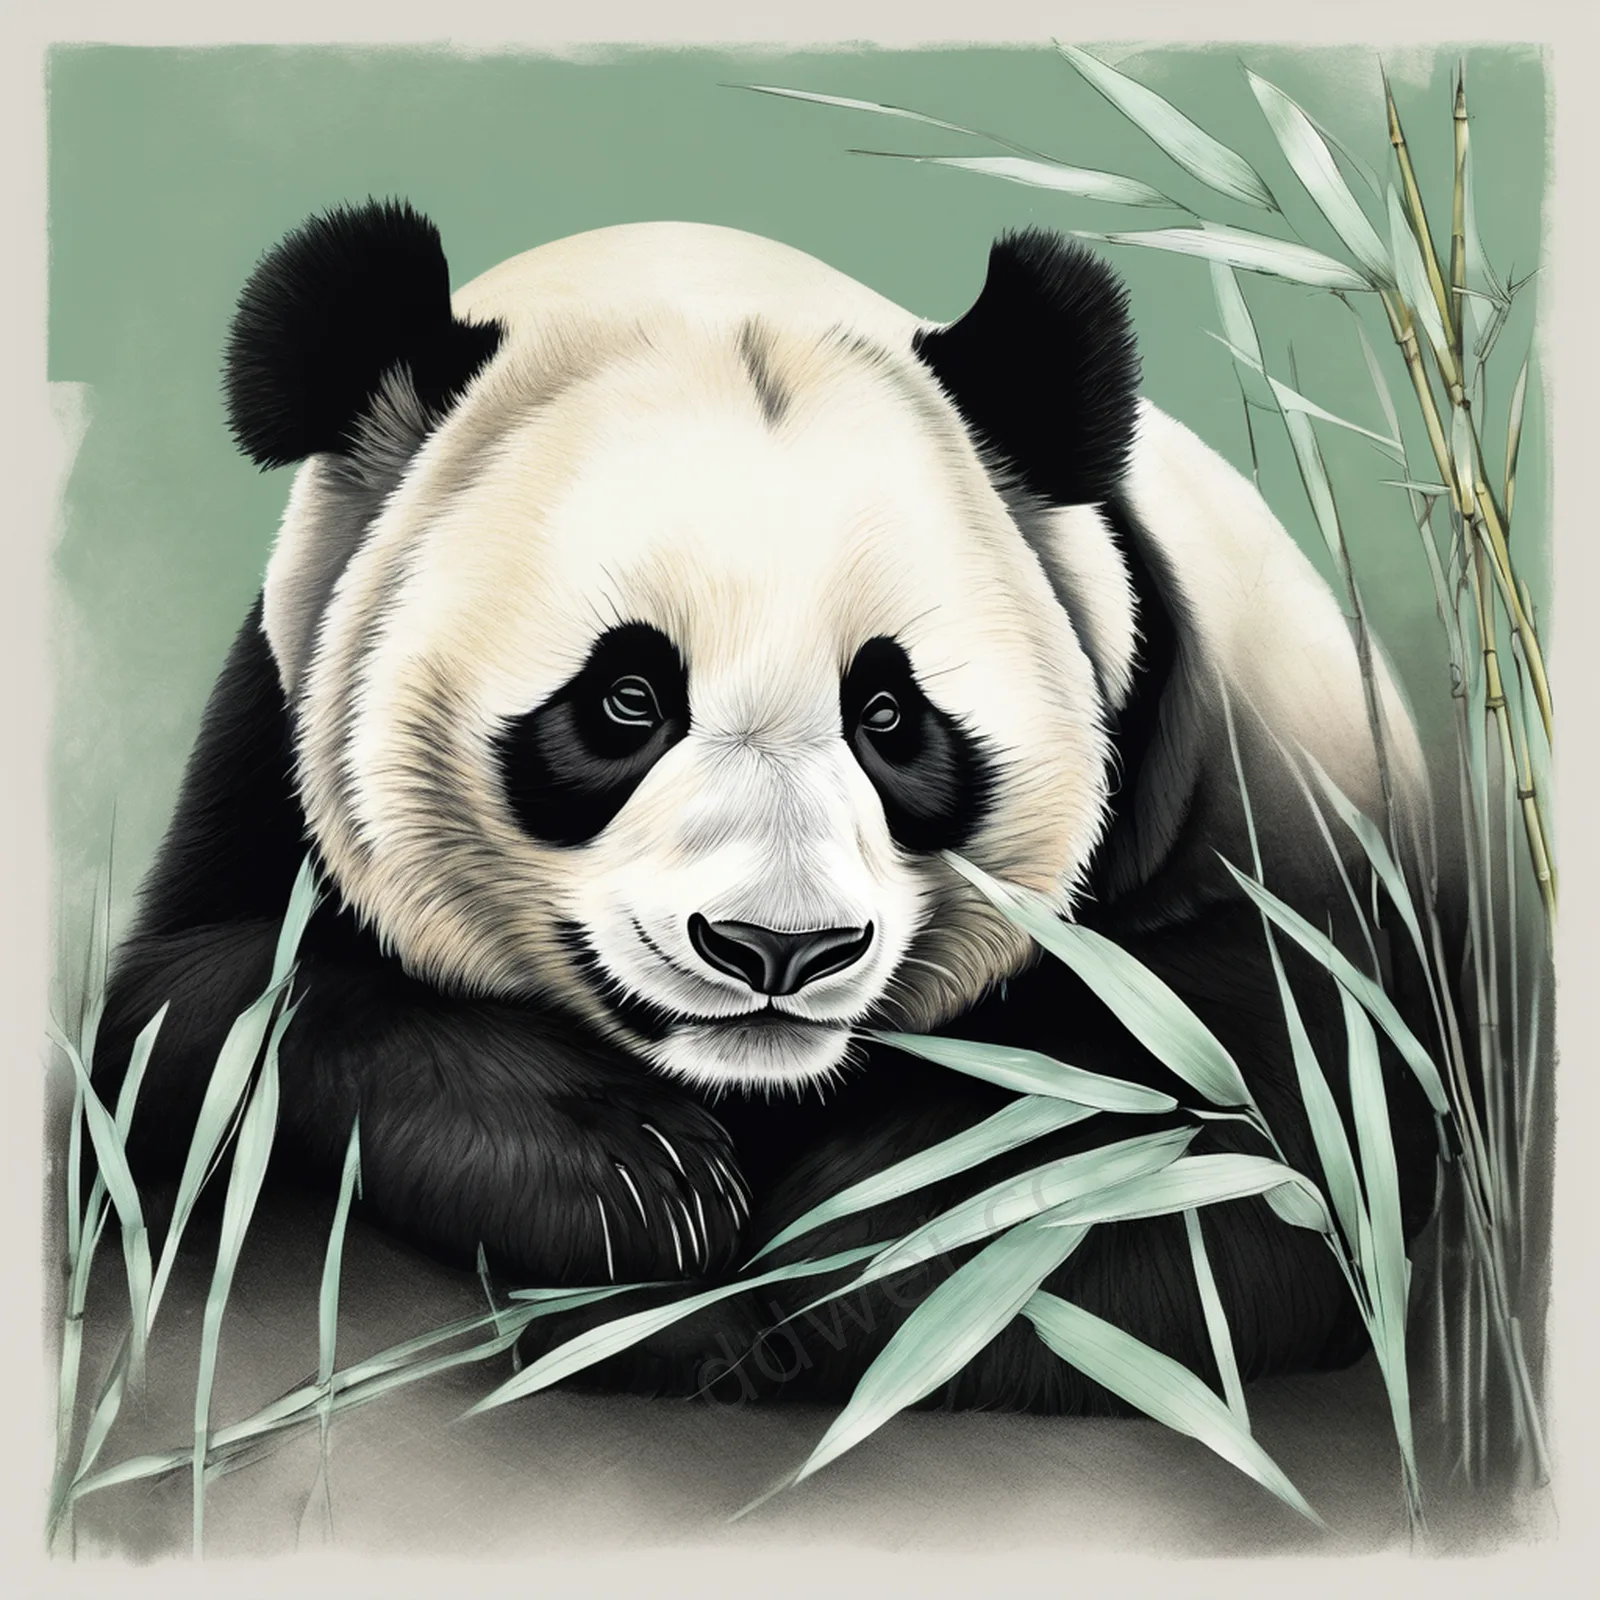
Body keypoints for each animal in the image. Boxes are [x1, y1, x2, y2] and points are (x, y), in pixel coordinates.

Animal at [96, 200, 1442, 1412]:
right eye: (626, 698)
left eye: (888, 714)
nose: (779, 949)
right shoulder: (272, 750)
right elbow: (199, 1020)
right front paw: (634, 1187)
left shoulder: (1228, 814)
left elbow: (1248, 1157)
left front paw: (814, 1261)